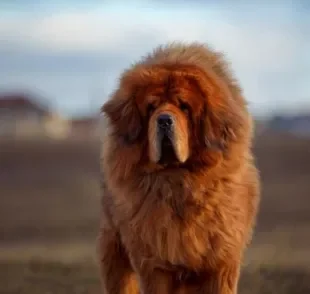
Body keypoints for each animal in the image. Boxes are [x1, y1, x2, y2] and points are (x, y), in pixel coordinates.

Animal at [97, 42, 262, 294]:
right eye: (151, 107)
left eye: (184, 107)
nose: (164, 119)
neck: (179, 182)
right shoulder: (155, 264)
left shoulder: (221, 262)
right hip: (115, 250)